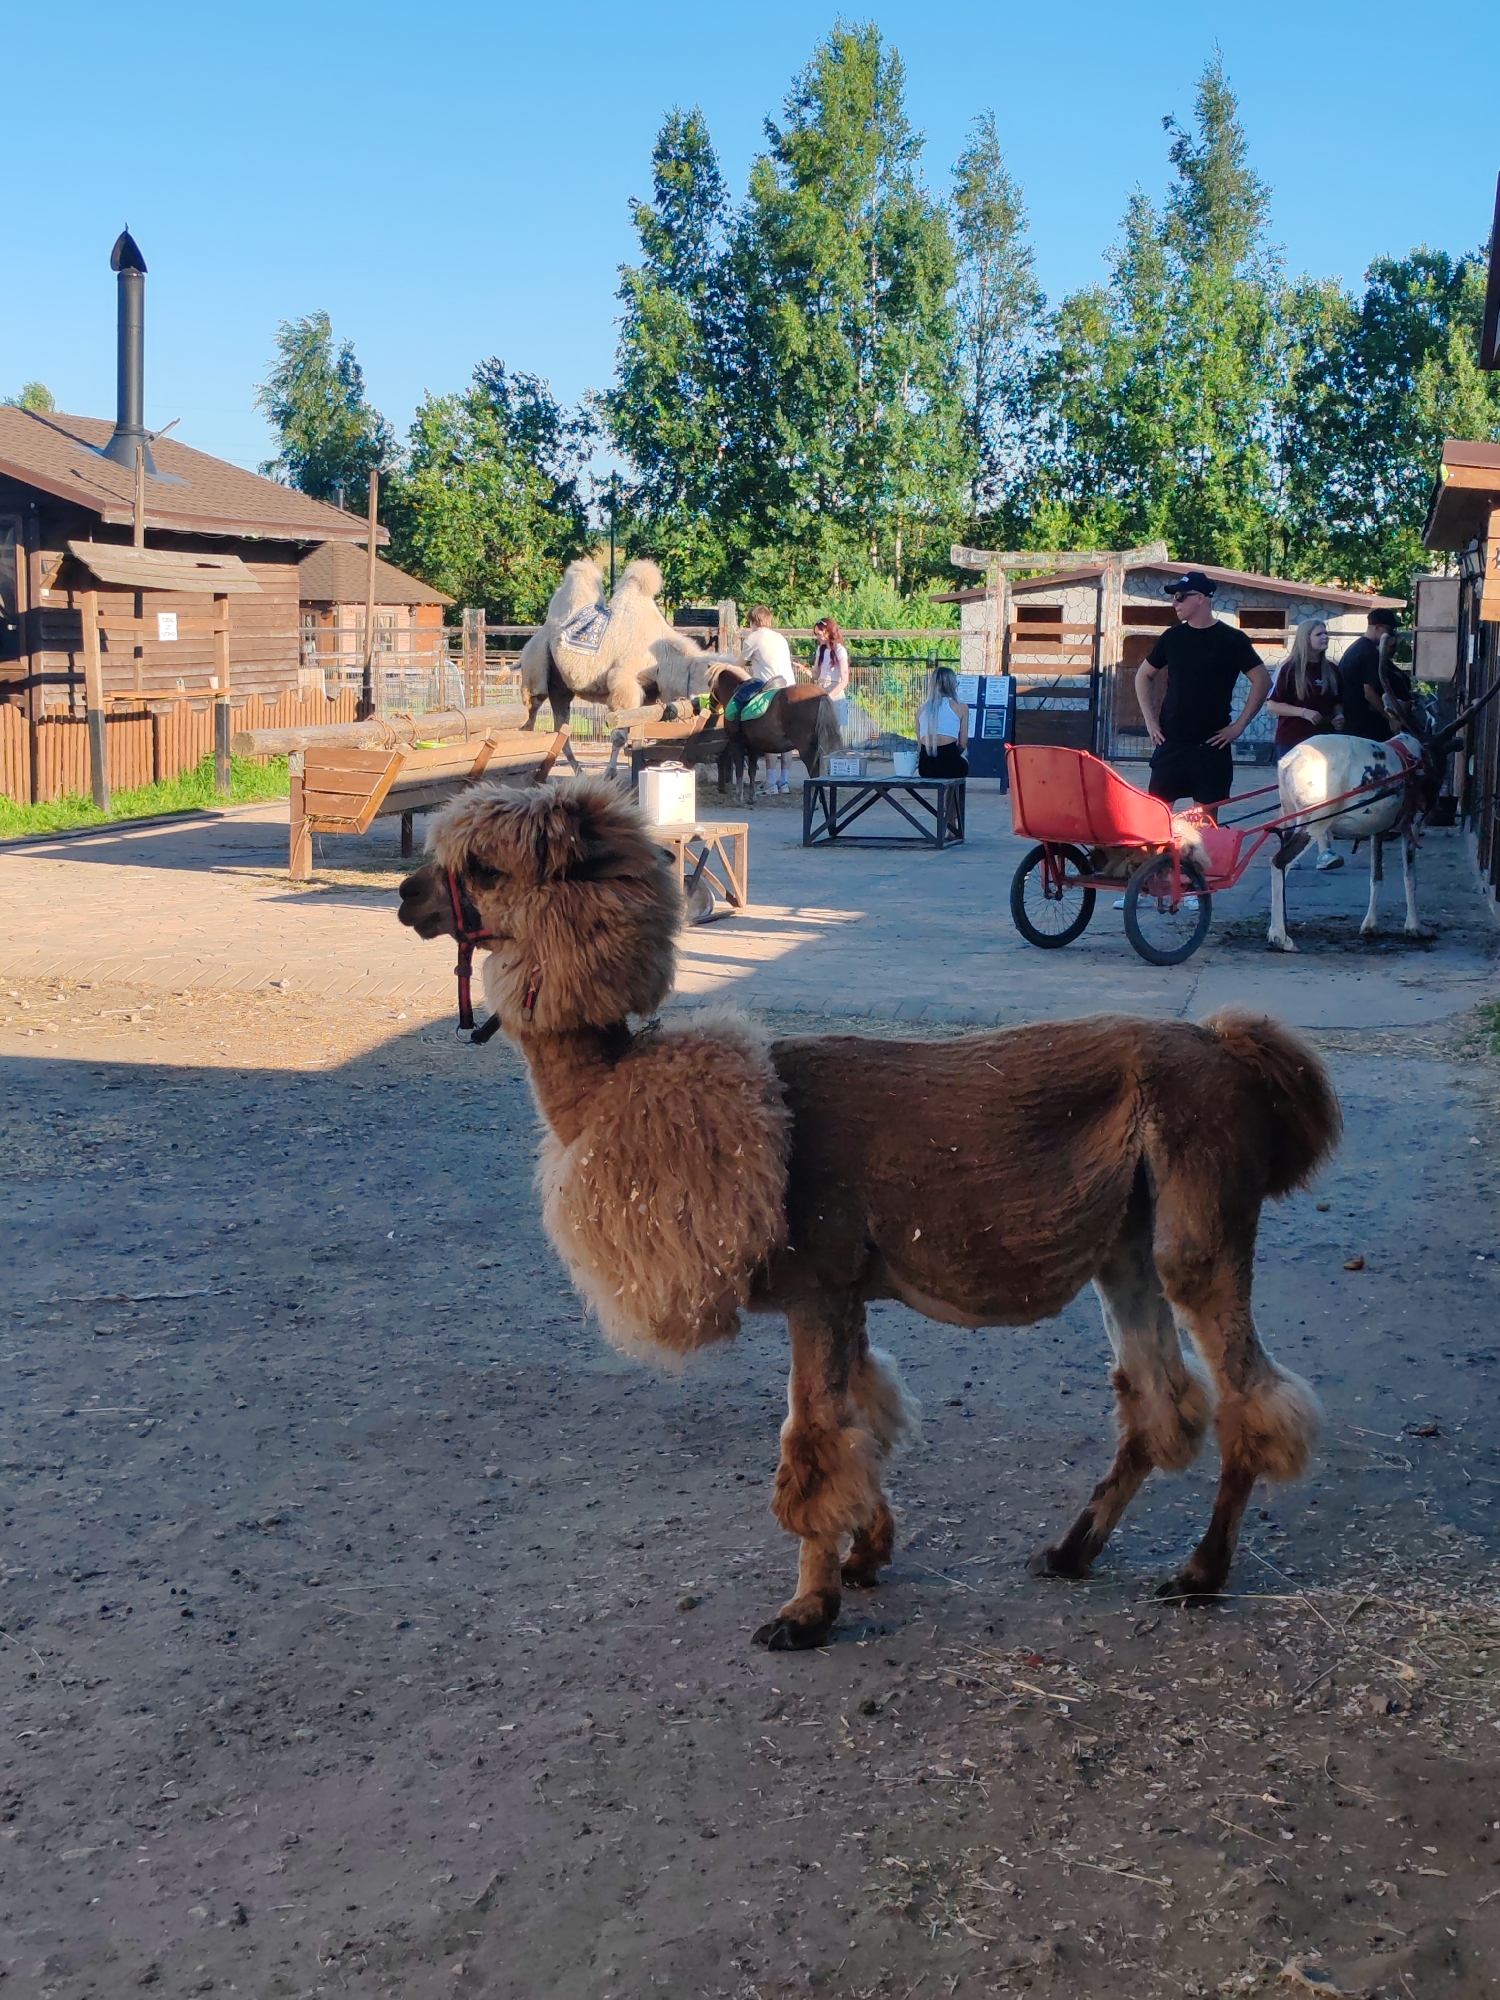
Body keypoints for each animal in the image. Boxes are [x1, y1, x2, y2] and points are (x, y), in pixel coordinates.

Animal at [398, 777, 1341, 1650]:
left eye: (481, 868)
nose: (408, 896)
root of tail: (1225, 1046)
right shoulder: (843, 1289)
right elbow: (860, 1419)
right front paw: (866, 1555)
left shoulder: (816, 1282)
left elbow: (815, 1438)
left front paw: (805, 1611)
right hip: (1129, 1246)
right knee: (1157, 1402)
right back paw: (1072, 1551)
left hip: (1201, 1215)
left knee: (1247, 1395)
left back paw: (1200, 1573)